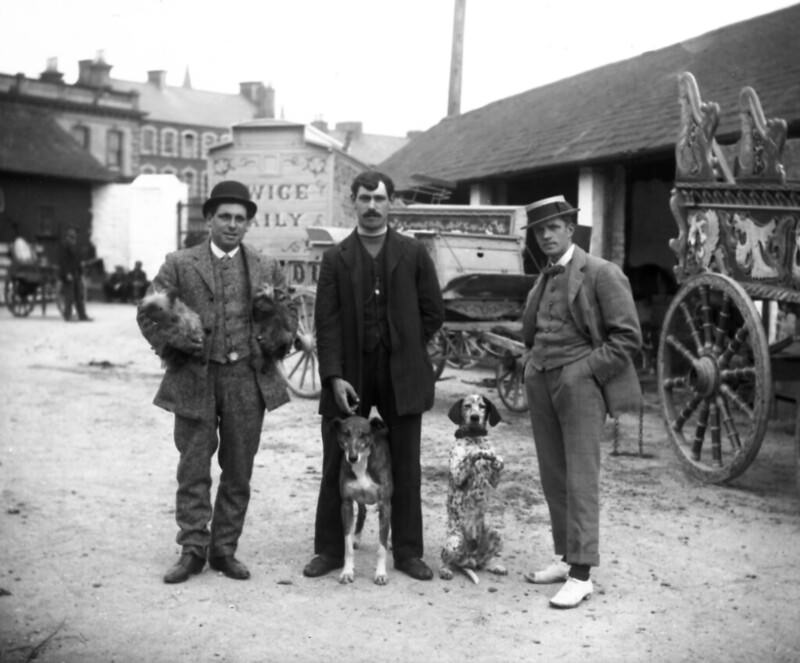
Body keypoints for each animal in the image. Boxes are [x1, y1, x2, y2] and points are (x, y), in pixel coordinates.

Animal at [438, 396, 506, 584]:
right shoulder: (458, 474)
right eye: (467, 406)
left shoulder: (494, 480)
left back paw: (494, 566)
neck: (475, 438)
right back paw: (445, 570)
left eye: (482, 406)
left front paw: (496, 459)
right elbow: (471, 455)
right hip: (454, 541)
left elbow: (498, 462)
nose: (475, 417)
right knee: (446, 559)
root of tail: (468, 560)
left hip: (495, 534)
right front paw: (480, 453)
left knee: (482, 563)